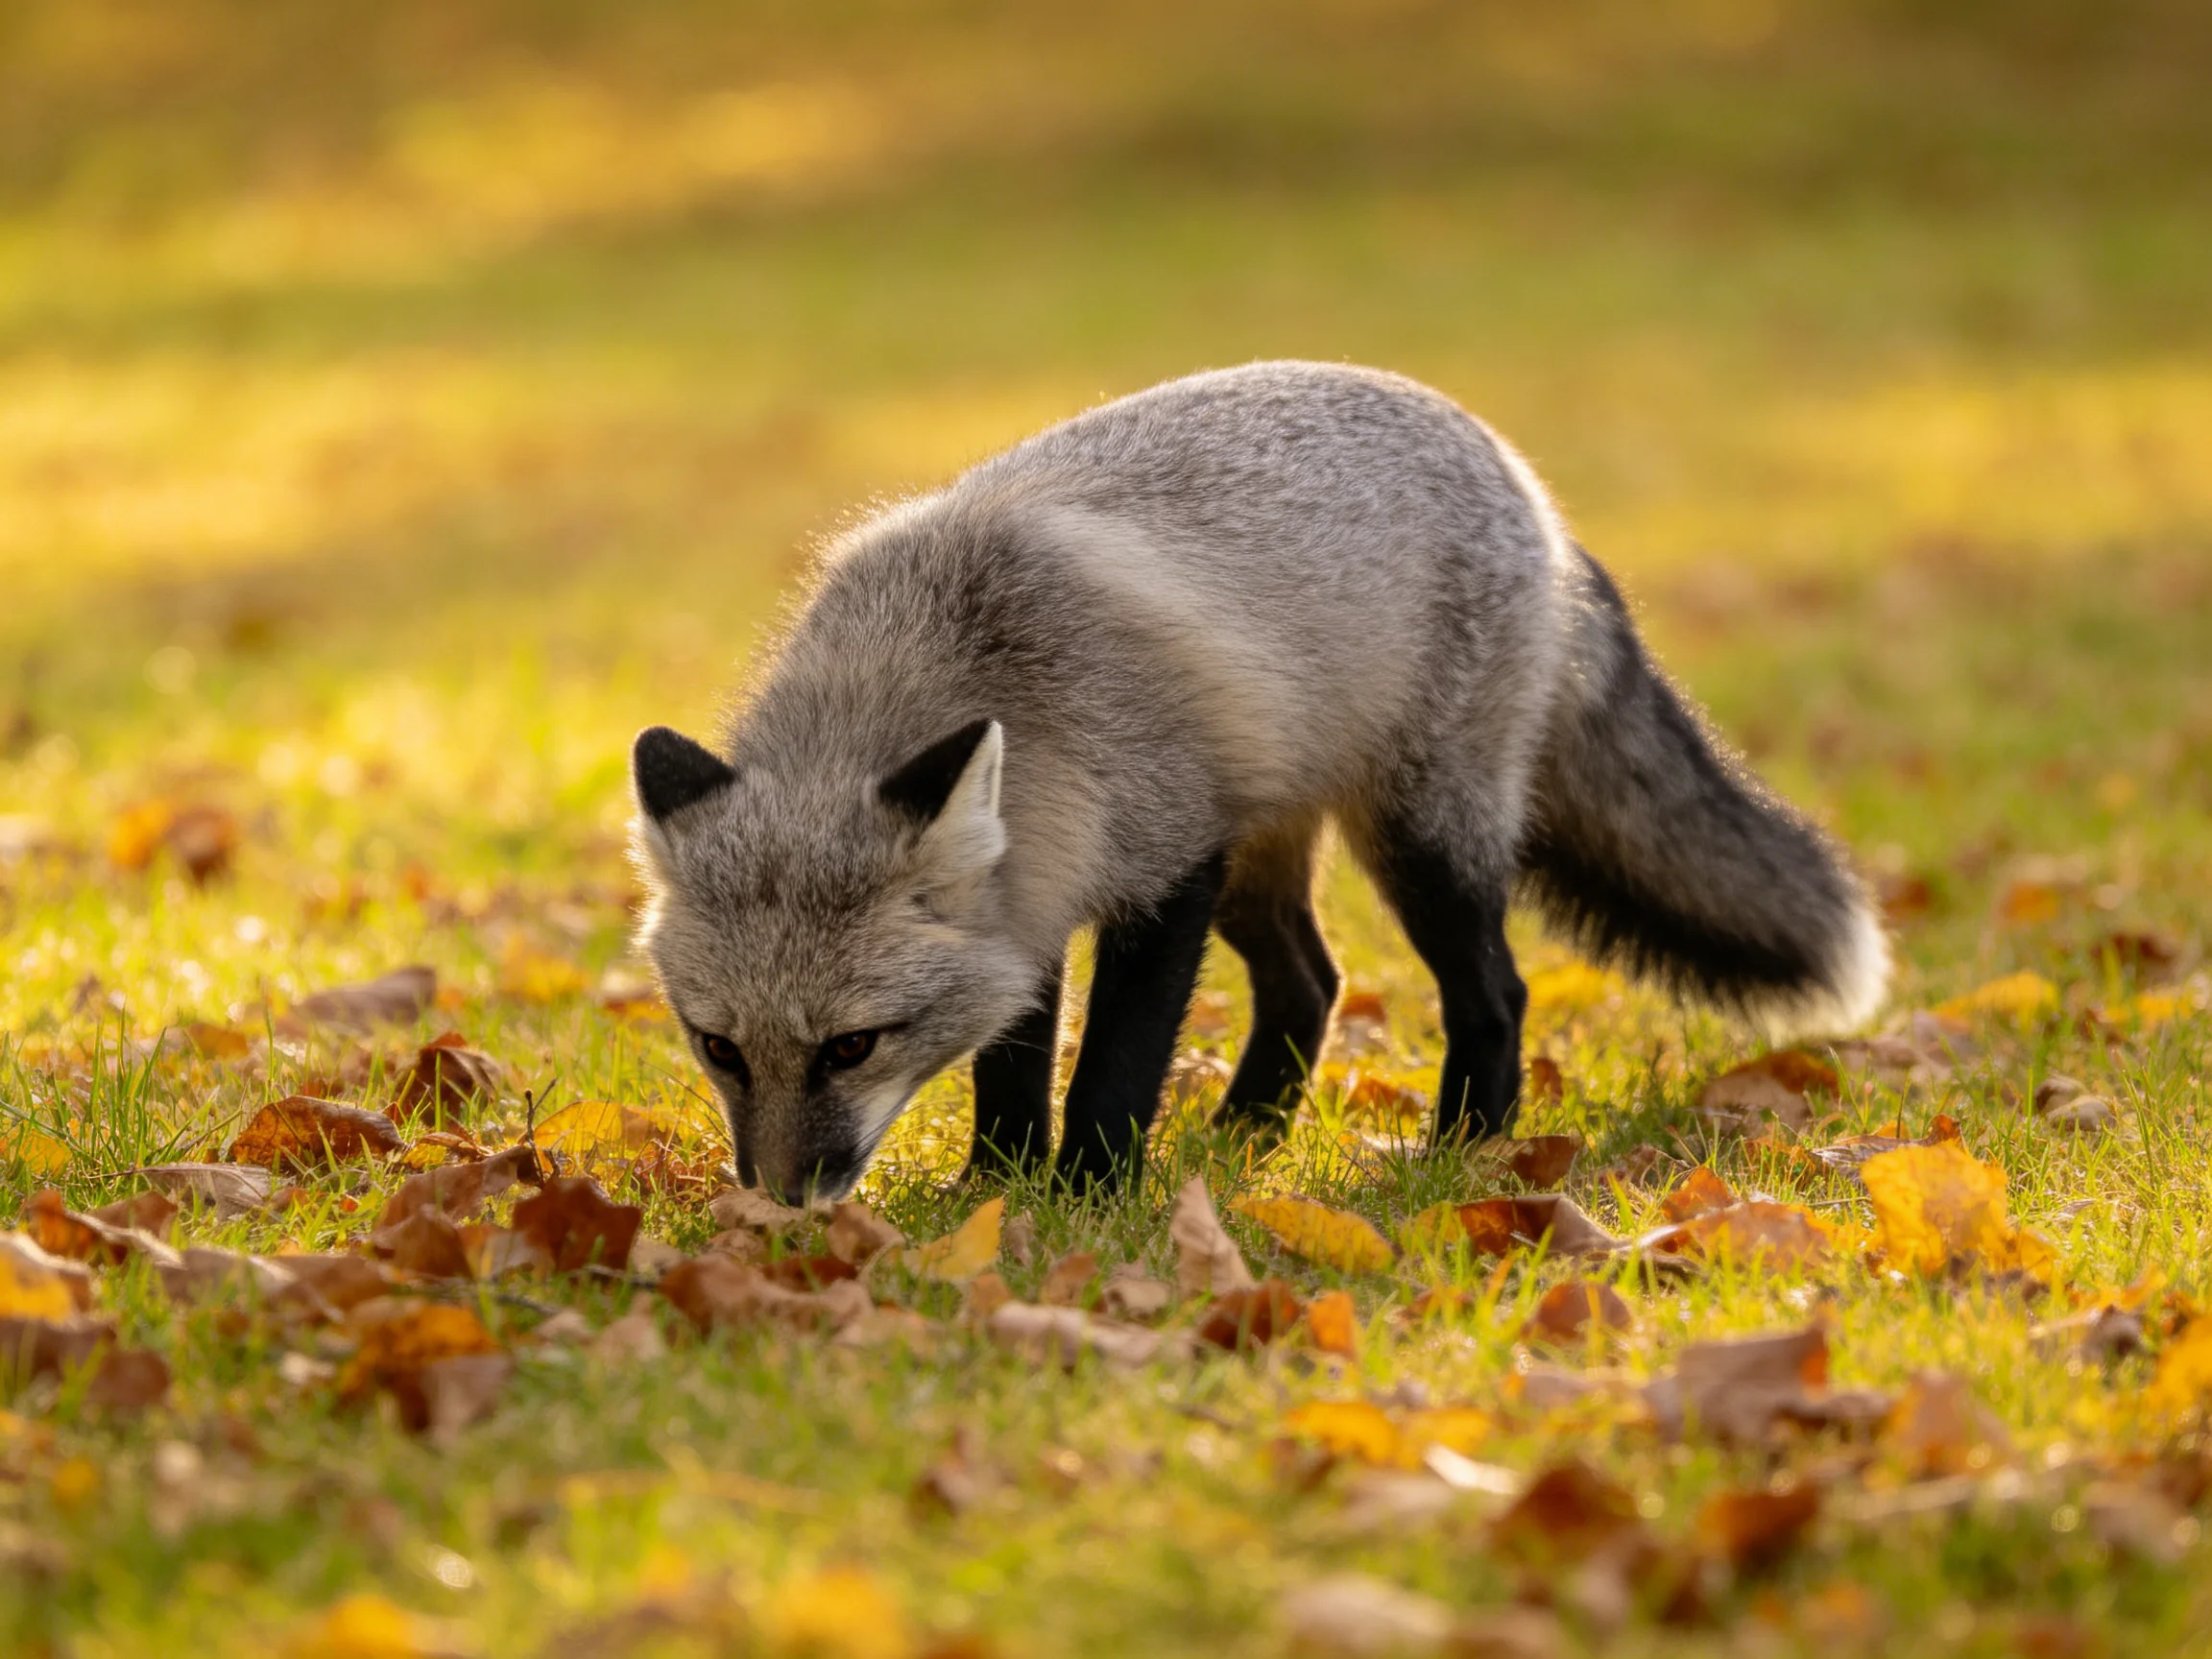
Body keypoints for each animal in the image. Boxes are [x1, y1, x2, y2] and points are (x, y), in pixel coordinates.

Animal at [631, 361, 1889, 1203]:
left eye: (852, 1047)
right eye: (719, 1049)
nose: (779, 1202)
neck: (983, 661)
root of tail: (1518, 475)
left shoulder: (1166, 862)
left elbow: (1114, 1063)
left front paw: (1087, 1198)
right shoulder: (1037, 884)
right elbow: (1013, 1066)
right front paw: (995, 1190)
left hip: (1419, 838)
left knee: (1495, 989)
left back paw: (1464, 1148)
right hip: (1265, 859)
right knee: (1313, 984)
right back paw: (1245, 1138)